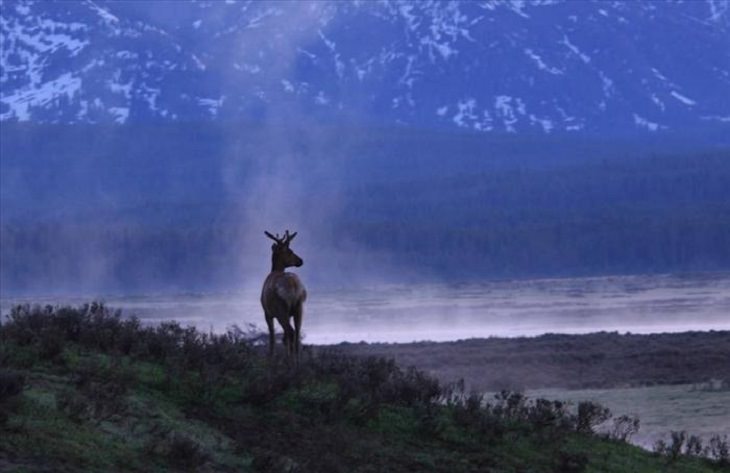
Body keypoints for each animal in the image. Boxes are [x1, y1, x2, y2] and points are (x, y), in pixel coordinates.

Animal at [260, 230, 306, 358]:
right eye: (290, 251)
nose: (301, 260)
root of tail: (293, 285)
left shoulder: (267, 312)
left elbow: (272, 337)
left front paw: (271, 356)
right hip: (299, 307)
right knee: (296, 333)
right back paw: (297, 359)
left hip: (281, 309)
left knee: (290, 332)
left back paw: (290, 359)